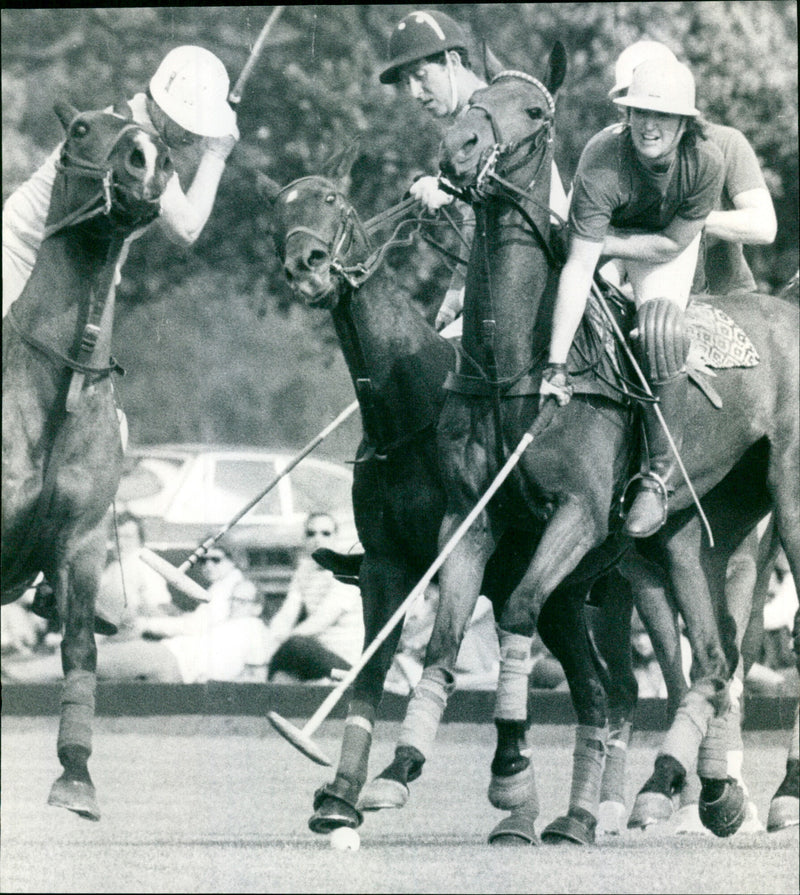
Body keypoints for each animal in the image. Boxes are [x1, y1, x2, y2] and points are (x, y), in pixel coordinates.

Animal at [268, 164, 636, 844]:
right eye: (276, 213)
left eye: (332, 199)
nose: (306, 266)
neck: (407, 413)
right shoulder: (386, 563)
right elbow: (375, 664)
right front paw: (340, 796)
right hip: (569, 600)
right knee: (596, 690)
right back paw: (568, 817)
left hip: (624, 594)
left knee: (641, 686)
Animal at [368, 47, 800, 848]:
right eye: (475, 98)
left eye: (535, 113)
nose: (457, 151)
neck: (514, 366)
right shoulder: (468, 519)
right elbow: (443, 643)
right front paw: (397, 769)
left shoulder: (578, 513)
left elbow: (517, 611)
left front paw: (510, 771)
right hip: (691, 536)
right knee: (715, 655)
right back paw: (700, 792)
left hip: (785, 508)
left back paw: (769, 794)